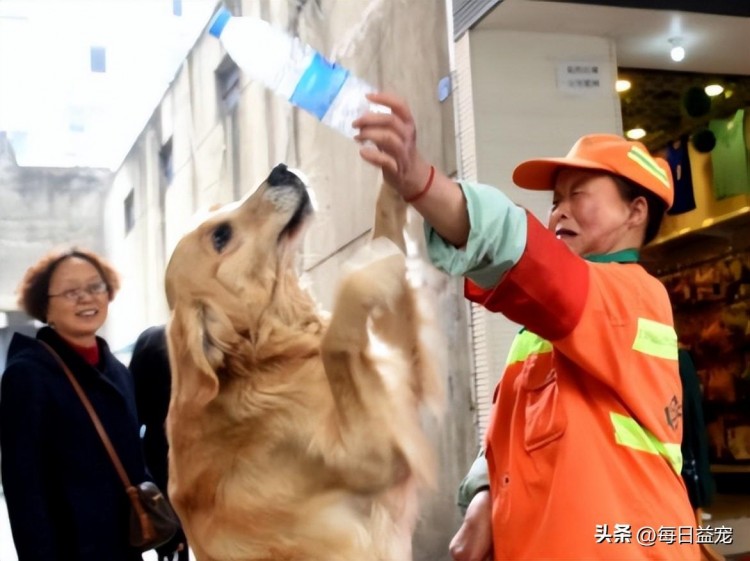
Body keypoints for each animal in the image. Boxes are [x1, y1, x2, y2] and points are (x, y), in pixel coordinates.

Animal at [164, 163, 444, 560]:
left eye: (220, 210)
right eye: (221, 236)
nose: (280, 170)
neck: (261, 358)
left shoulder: (396, 376)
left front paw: (398, 175)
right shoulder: (377, 457)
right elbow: (335, 339)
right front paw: (365, 273)